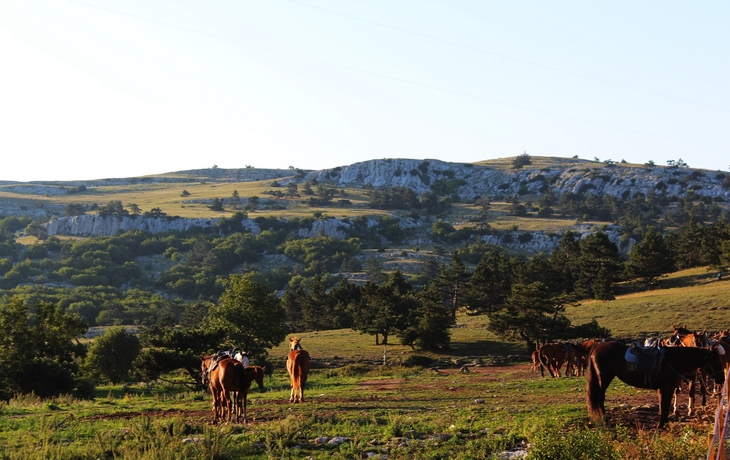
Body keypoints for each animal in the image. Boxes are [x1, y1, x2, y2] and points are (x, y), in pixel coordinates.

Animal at [586, 341, 726, 428]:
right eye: (715, 360)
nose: (722, 378)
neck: (674, 360)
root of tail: (597, 347)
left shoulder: (670, 387)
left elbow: (667, 405)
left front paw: (665, 423)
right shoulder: (664, 387)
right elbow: (664, 405)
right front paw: (660, 425)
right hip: (604, 378)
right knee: (600, 398)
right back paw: (605, 421)